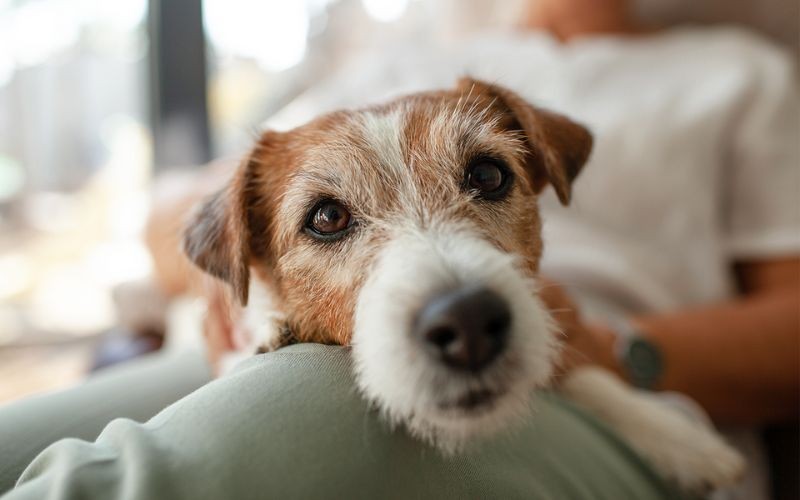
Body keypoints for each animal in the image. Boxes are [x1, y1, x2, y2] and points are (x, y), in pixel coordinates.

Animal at [181, 77, 744, 492]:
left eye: (488, 175)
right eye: (327, 217)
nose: (469, 320)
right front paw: (269, 330)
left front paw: (677, 437)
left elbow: (581, 369)